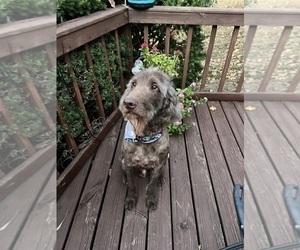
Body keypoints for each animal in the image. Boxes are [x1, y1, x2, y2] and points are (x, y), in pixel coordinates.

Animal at [119, 67, 180, 210]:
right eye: (133, 84)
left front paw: (151, 200)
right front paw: (130, 199)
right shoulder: (128, 163)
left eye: (154, 86)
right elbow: (131, 185)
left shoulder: (158, 165)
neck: (145, 138)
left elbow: (151, 186)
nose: (128, 103)